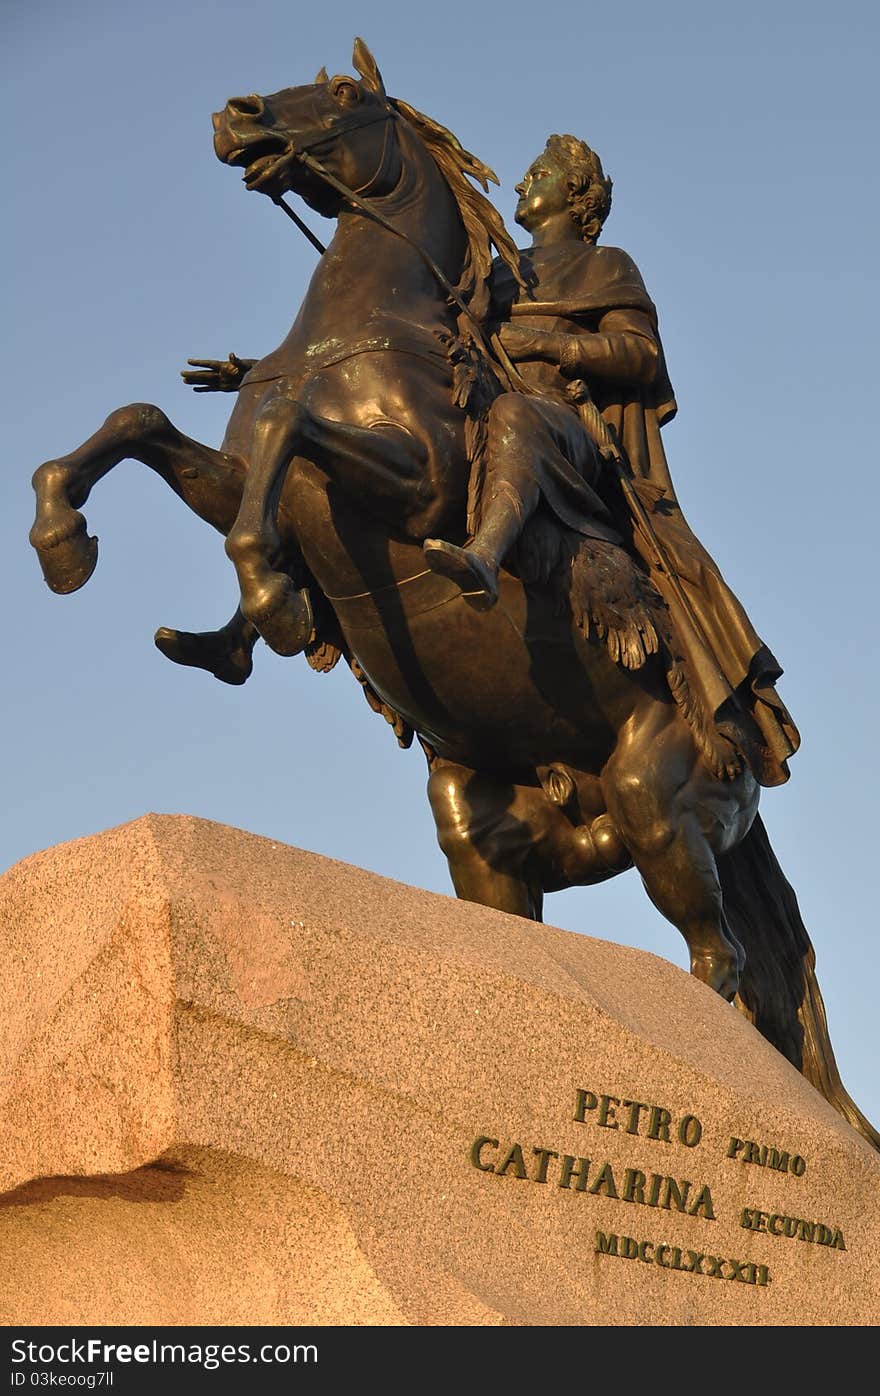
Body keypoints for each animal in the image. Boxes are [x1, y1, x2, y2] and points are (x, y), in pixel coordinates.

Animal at [29, 40, 880, 1155]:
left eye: (346, 93)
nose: (236, 113)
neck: (356, 330)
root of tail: (744, 749)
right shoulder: (234, 477)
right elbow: (144, 422)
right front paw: (64, 537)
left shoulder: (416, 481)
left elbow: (293, 436)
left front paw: (273, 597)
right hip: (486, 832)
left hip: (659, 809)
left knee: (721, 964)